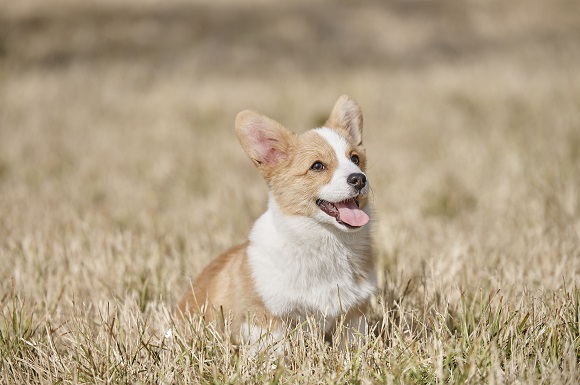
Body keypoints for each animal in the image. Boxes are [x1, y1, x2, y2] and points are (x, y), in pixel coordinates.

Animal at [178, 94, 376, 346]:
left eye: (355, 158)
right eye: (317, 166)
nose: (359, 179)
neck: (327, 242)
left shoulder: (353, 316)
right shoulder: (264, 317)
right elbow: (275, 347)